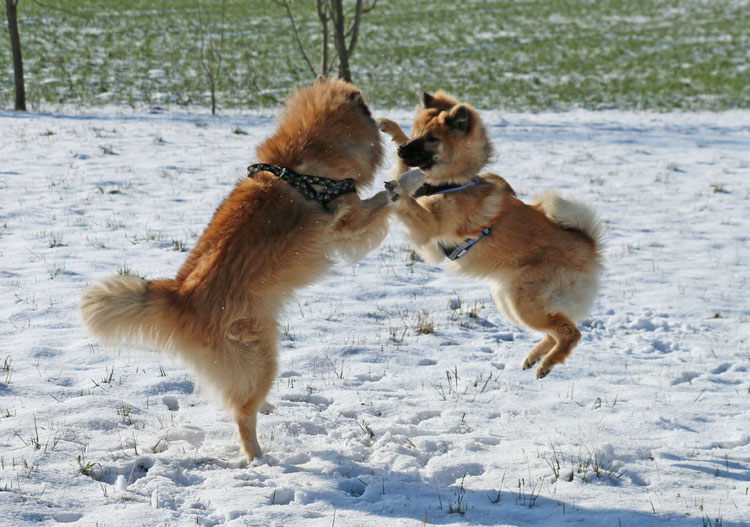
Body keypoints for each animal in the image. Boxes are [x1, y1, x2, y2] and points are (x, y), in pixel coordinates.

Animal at [79, 77, 390, 458]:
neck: (300, 158)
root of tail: (179, 296)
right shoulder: (349, 223)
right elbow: (382, 201)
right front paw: (407, 183)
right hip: (258, 350)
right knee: (242, 412)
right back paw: (257, 455)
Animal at [382, 91, 604, 380]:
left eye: (431, 138)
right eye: (416, 133)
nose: (402, 149)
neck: (454, 183)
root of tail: (589, 245)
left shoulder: (428, 228)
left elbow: (409, 201)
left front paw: (398, 189)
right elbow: (402, 171)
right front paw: (391, 130)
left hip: (524, 298)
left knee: (571, 332)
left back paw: (546, 363)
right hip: (510, 300)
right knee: (557, 328)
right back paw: (534, 357)